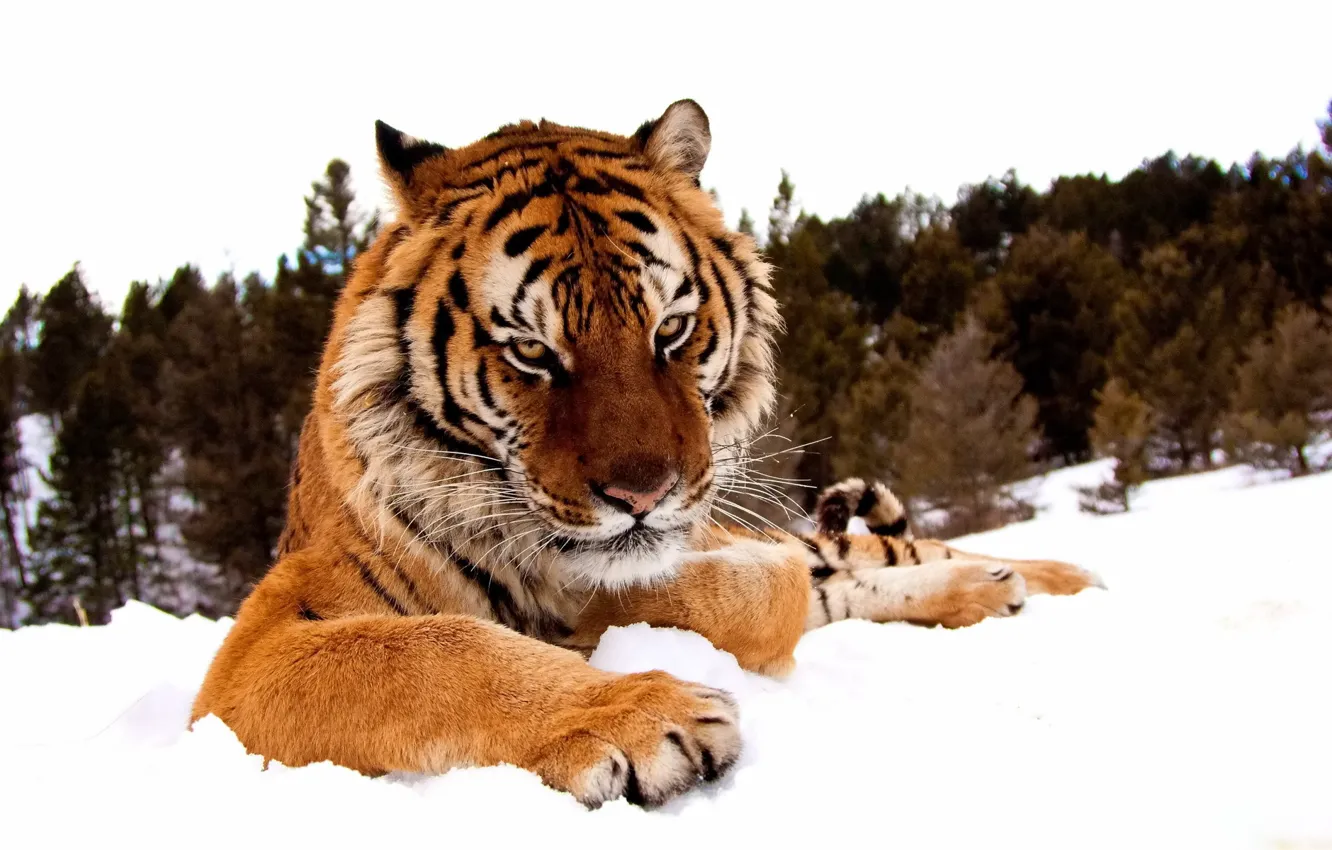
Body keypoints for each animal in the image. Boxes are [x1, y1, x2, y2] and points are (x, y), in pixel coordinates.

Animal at [190, 100, 1103, 809]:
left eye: (671, 330)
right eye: (532, 352)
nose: (643, 495)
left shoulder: (728, 546)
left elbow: (743, 589)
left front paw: (598, 621)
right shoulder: (257, 648)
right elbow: (434, 651)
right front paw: (641, 713)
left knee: (897, 553)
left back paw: (1050, 578)